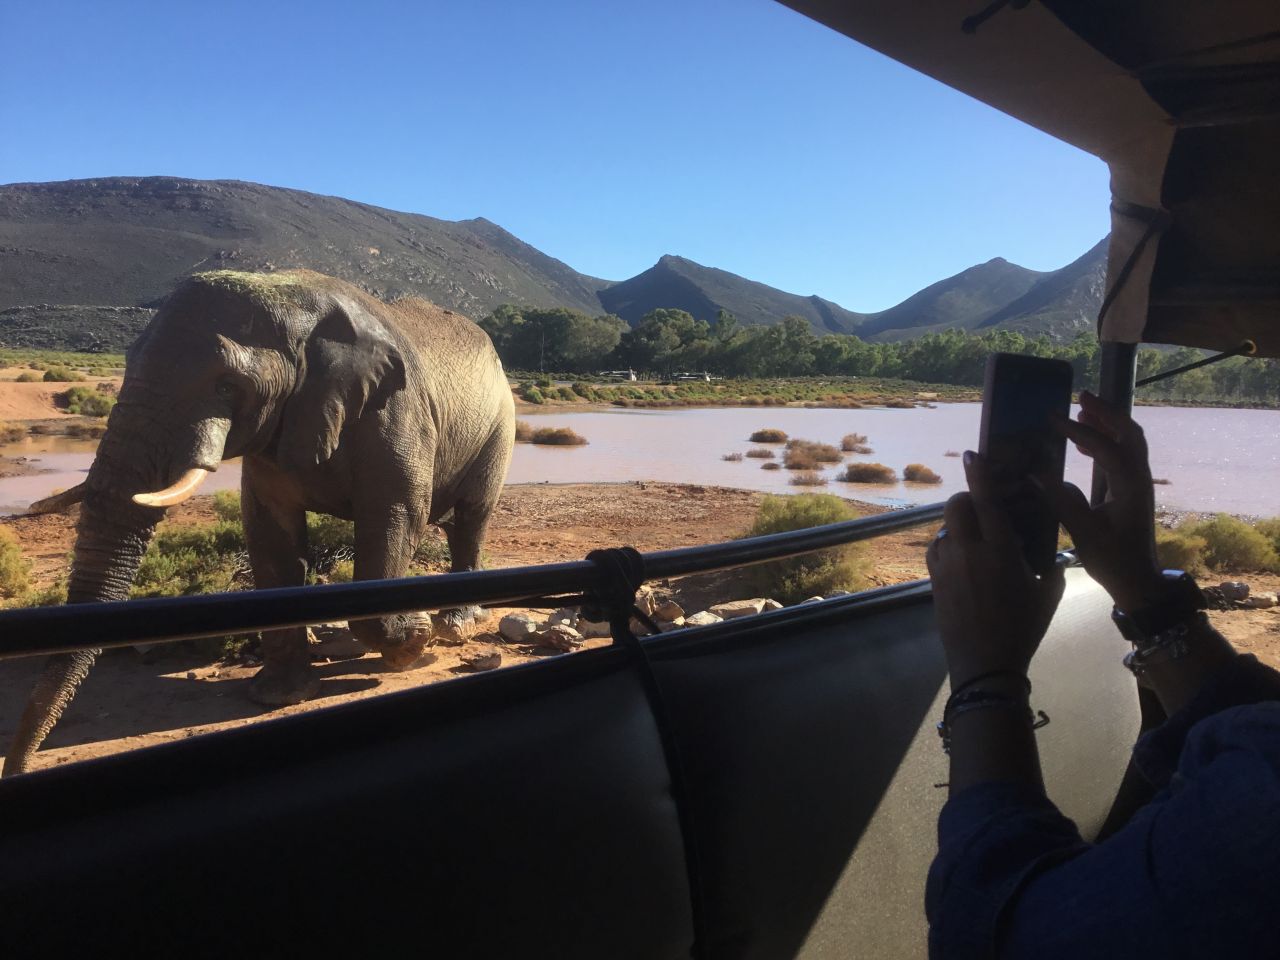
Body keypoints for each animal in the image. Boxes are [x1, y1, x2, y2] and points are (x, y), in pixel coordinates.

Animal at [4, 269, 515, 776]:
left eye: (228, 386)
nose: (18, 768)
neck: (294, 297)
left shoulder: (396, 414)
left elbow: (393, 520)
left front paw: (413, 641)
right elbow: (271, 538)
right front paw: (279, 696)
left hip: (498, 426)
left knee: (472, 517)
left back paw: (455, 626)